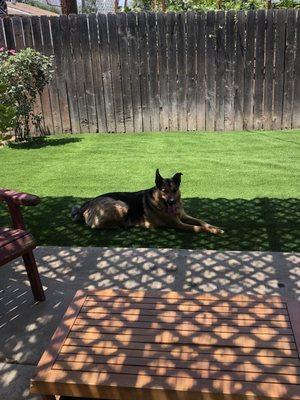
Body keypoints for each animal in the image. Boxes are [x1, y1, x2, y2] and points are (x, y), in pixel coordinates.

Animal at [71, 170, 224, 234]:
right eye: (164, 190)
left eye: (174, 190)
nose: (172, 202)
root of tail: (87, 204)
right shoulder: (178, 223)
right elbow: (198, 227)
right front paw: (214, 231)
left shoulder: (184, 216)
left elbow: (201, 221)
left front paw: (214, 227)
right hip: (122, 205)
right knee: (95, 226)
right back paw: (120, 225)